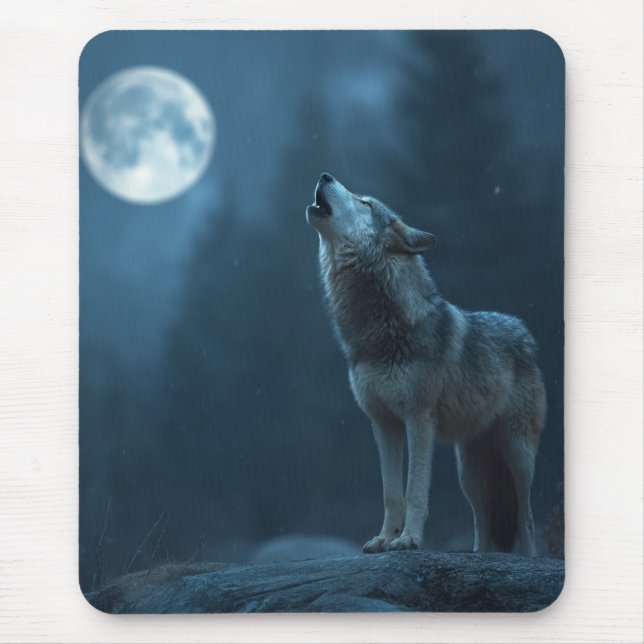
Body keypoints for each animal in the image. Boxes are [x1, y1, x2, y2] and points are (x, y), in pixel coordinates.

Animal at [306, 173, 546, 557]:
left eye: (364, 203)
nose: (325, 175)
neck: (380, 330)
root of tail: (524, 333)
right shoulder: (383, 423)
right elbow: (391, 493)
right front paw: (385, 538)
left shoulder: (418, 418)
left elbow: (414, 491)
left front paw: (408, 539)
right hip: (469, 472)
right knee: (483, 519)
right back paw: (480, 555)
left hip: (517, 455)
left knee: (527, 516)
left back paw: (528, 557)